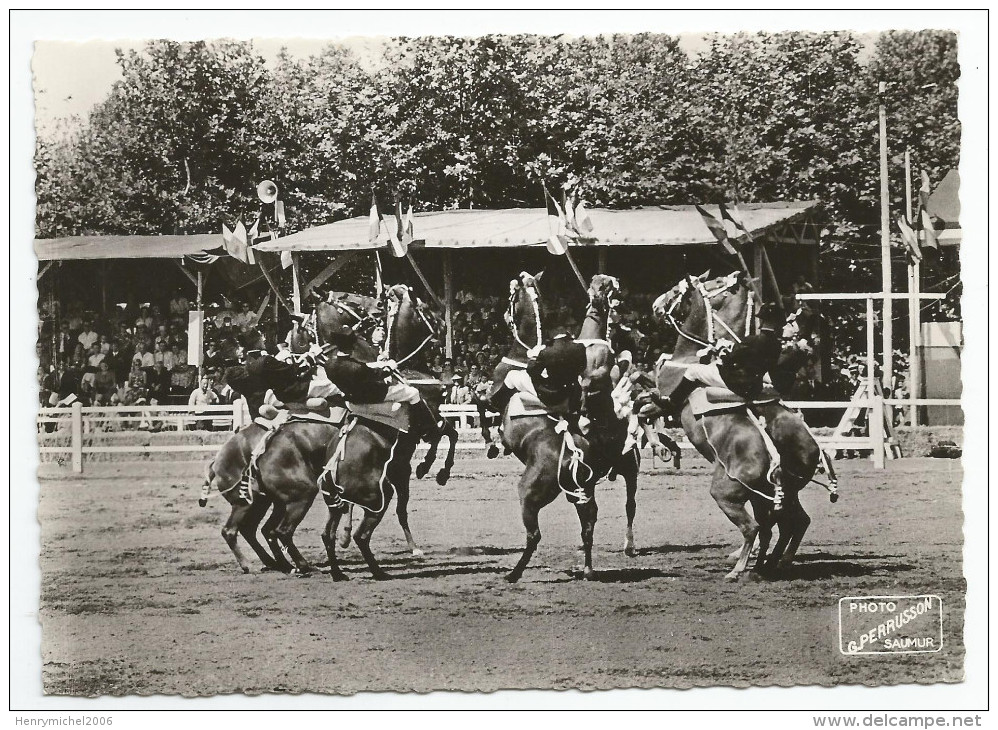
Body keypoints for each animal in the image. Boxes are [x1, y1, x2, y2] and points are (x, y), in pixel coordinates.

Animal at [656, 268, 820, 580]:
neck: (692, 355)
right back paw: (769, 565)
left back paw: (740, 569)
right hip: (776, 497)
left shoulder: (663, 393)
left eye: (679, 289)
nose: (656, 305)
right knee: (790, 524)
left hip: (728, 495)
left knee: (755, 528)